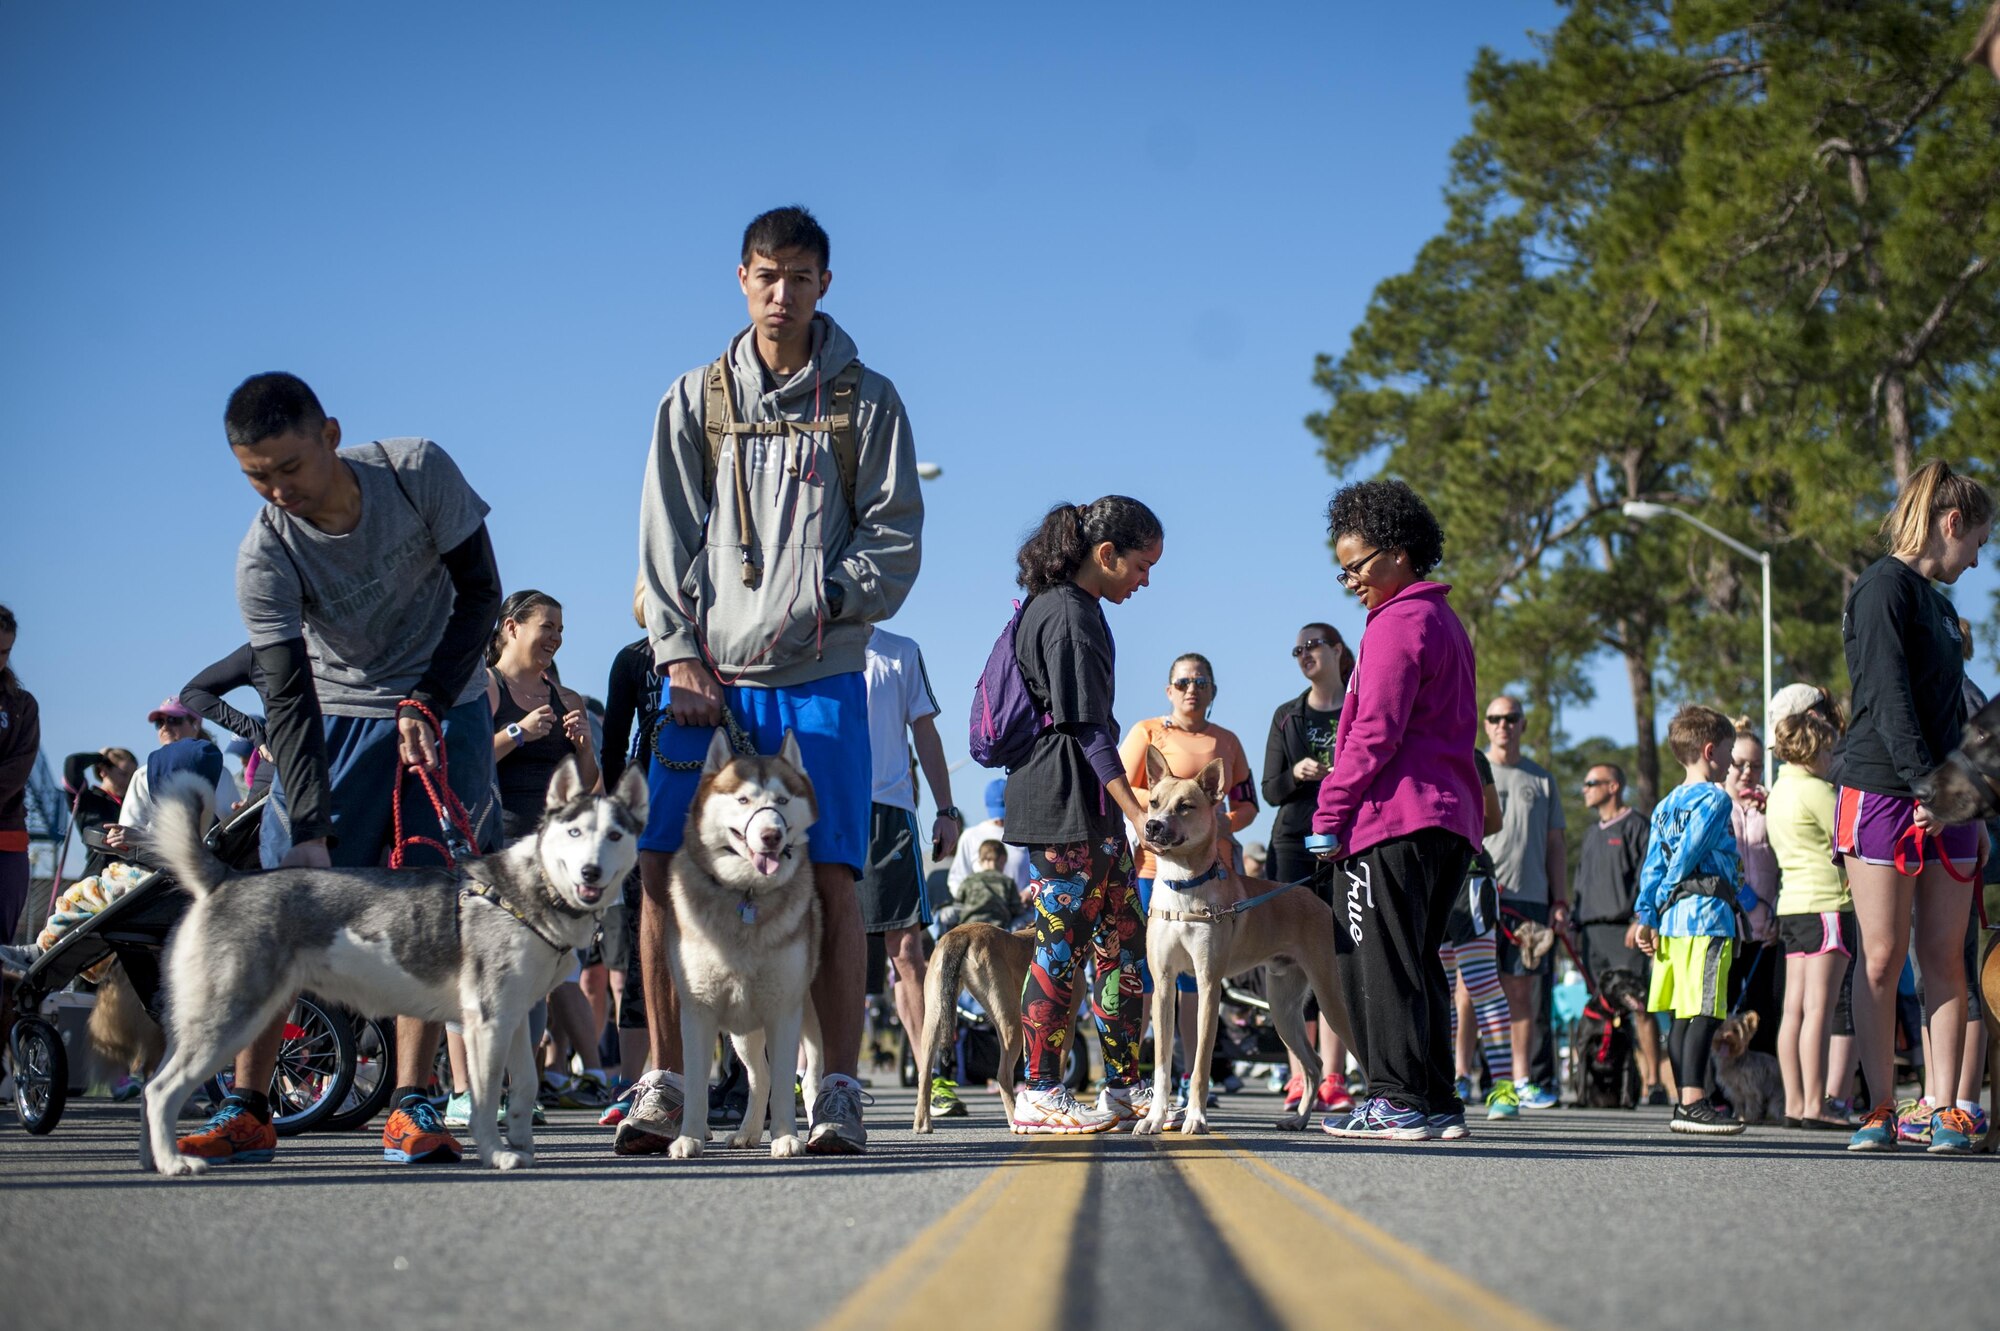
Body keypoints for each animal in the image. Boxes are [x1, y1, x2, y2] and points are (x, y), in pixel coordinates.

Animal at [135, 751, 632, 1175]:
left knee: (150, 1089)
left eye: (614, 836)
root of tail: (226, 878)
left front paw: (522, 1146)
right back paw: (175, 1162)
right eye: (574, 833)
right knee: (160, 1090)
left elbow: (524, 1087)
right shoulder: (487, 1024)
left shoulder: (514, 1019)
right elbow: (487, 1098)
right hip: (233, 1019)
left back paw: (152, 1159)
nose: (590, 872)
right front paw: (496, 1154)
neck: (525, 892)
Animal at [664, 727, 820, 1151]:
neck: (746, 894)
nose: (770, 835)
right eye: (743, 799)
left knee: (809, 1077)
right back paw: (747, 1131)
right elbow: (696, 1084)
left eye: (782, 800)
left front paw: (786, 1137)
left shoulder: (784, 1009)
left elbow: (785, 1082)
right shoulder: (697, 1010)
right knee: (757, 1076)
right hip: (742, 1032)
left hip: (801, 1013)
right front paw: (689, 1137)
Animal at [908, 923, 1032, 1127]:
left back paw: (922, 1125)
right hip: (1011, 1023)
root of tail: (962, 933)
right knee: (1003, 1076)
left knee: (924, 1075)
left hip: (934, 1017)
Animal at [1136, 747, 1352, 1127]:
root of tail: (1320, 902)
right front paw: (1155, 1117)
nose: (1152, 825)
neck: (1183, 886)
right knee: (1313, 1063)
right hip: (1282, 1006)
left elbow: (1201, 1063)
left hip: (1331, 998)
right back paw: (1299, 1119)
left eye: (1185, 806)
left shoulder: (1208, 984)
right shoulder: (1163, 984)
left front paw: (1196, 1118)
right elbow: (1162, 1063)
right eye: (1153, 802)